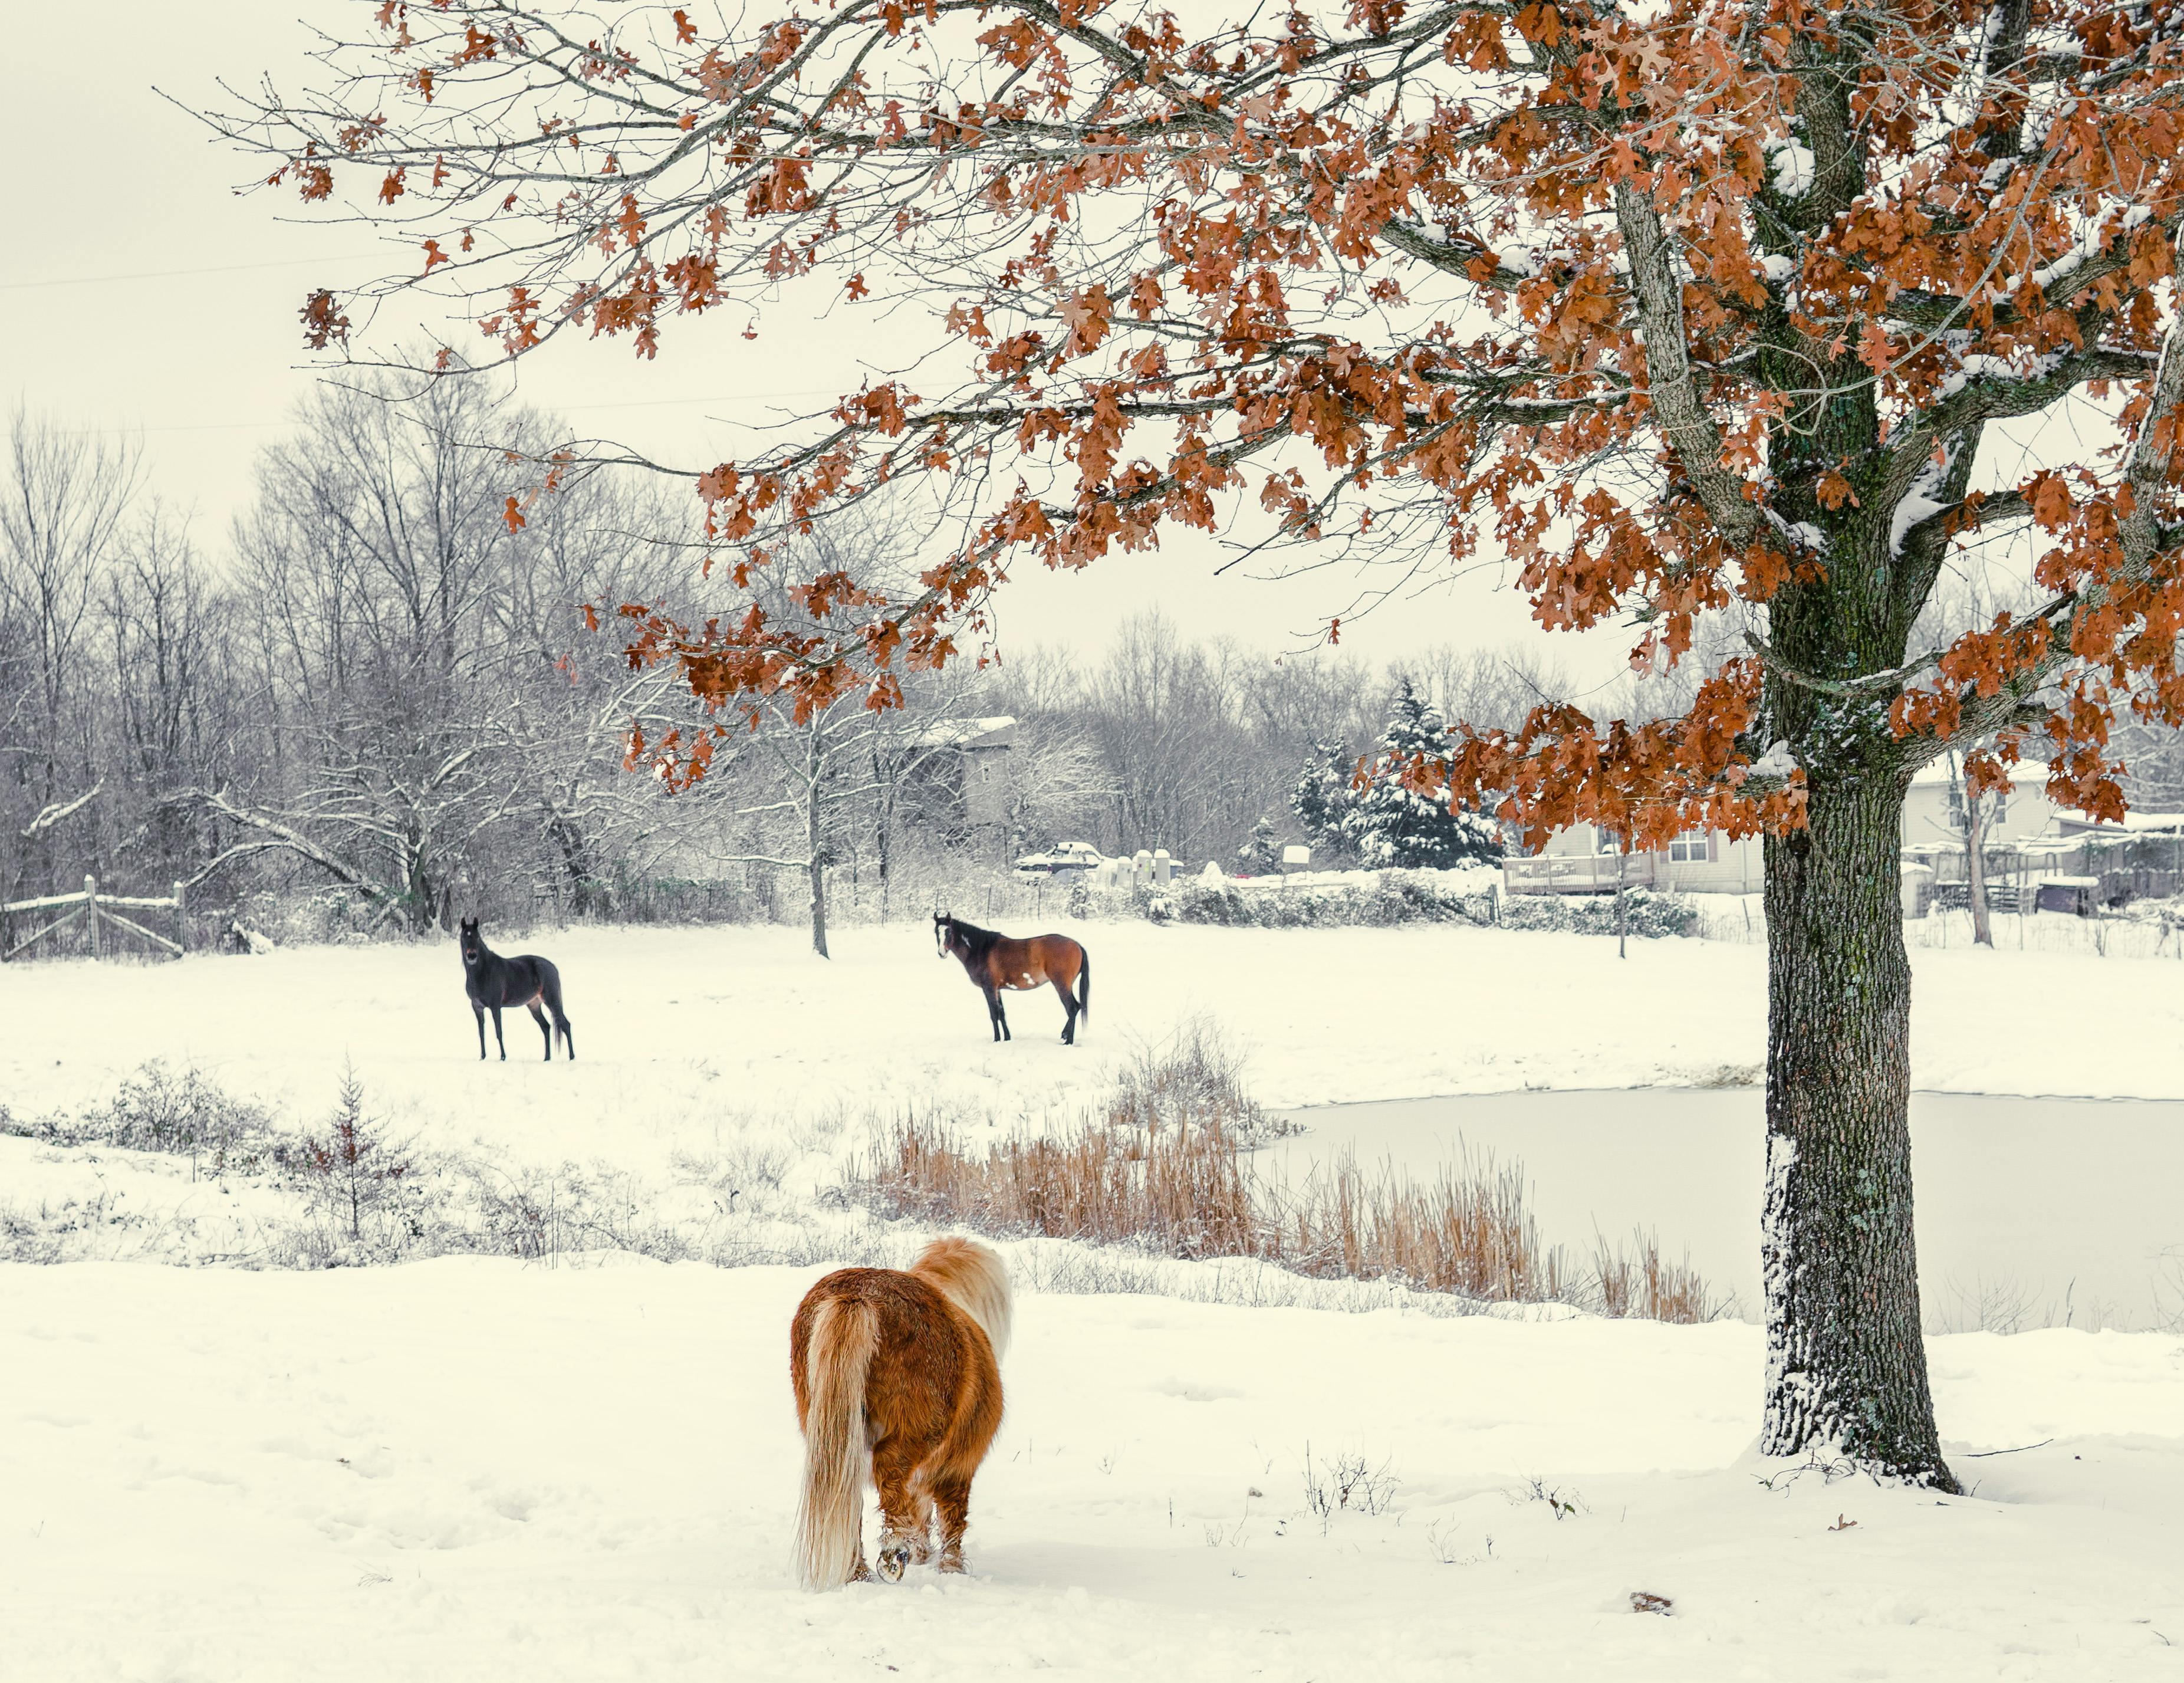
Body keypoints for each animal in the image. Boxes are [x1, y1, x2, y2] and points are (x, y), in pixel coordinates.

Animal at [458, 916, 572, 1061]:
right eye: (464, 937)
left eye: (477, 937)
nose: (472, 956)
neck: (483, 972)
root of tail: (552, 967)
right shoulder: (477, 1006)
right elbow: (481, 1033)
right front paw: (483, 1057)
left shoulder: (495, 1006)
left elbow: (499, 1032)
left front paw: (503, 1057)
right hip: (534, 1005)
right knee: (546, 1027)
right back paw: (546, 1058)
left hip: (552, 1001)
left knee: (565, 1025)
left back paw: (572, 1057)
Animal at [795, 1231, 1013, 1589]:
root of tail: (858, 1296)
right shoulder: (958, 1468)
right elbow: (952, 1521)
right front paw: (951, 1569)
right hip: (918, 1432)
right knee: (890, 1473)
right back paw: (894, 1554)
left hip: (837, 1433)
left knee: (850, 1494)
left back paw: (859, 1573)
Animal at [930, 916, 1092, 1047]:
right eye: (936, 932)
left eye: (949, 931)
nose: (941, 953)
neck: (982, 950)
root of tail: (1077, 945)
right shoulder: (997, 989)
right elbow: (1002, 1013)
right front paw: (1007, 1038)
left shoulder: (989, 988)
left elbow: (994, 1014)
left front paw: (996, 1039)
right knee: (1076, 1008)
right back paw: (1065, 1035)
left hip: (1061, 985)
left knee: (1072, 1008)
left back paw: (1068, 1041)